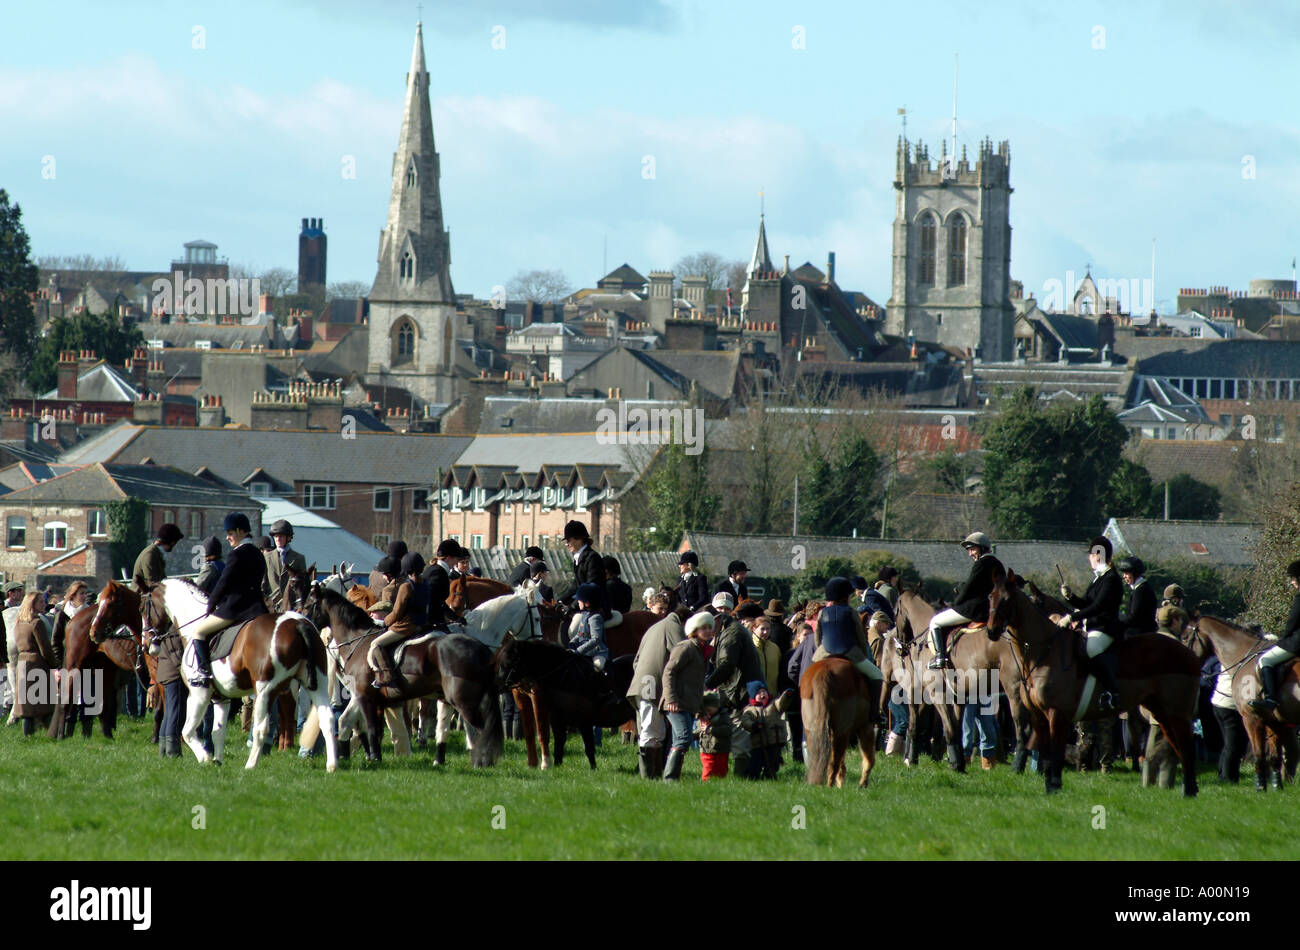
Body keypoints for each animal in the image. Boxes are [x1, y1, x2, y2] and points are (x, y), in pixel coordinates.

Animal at [47, 579, 143, 743]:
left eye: (110, 604)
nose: (94, 632)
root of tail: (73, 621)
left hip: (103, 670)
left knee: (102, 707)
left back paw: (108, 737)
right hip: (75, 666)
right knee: (67, 701)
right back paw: (61, 735)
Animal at [141, 579, 340, 774]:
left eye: (143, 608)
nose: (147, 645)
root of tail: (298, 624)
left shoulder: (199, 693)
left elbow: (187, 731)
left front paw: (205, 758)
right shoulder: (221, 698)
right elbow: (218, 731)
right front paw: (217, 761)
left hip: (265, 691)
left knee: (261, 728)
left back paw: (250, 765)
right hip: (317, 685)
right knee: (327, 719)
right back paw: (332, 766)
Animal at [299, 582, 506, 769]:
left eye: (308, 604)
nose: (304, 624)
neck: (356, 640)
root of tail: (479, 646)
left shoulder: (365, 696)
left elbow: (372, 728)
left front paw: (375, 758)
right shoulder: (360, 696)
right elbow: (348, 722)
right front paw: (350, 755)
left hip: (463, 699)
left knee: (480, 729)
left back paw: (480, 761)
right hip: (451, 699)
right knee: (451, 729)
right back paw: (449, 761)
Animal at [491, 634, 634, 769]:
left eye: (512, 660)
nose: (497, 684)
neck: (564, 675)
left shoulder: (583, 719)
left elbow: (587, 746)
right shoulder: (556, 718)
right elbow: (558, 742)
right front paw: (555, 765)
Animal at [987, 569, 1201, 800]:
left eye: (1006, 600)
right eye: (990, 597)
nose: (991, 631)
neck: (1045, 653)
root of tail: (1188, 652)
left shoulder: (1057, 714)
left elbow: (1055, 752)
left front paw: (1054, 785)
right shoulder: (1038, 716)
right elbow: (1044, 752)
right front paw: (1048, 787)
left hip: (1176, 713)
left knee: (1186, 747)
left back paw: (1189, 791)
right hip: (1162, 712)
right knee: (1177, 746)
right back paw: (1188, 788)